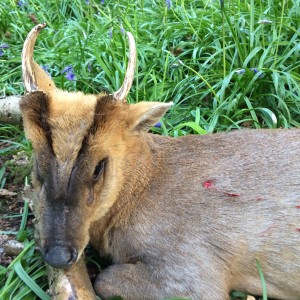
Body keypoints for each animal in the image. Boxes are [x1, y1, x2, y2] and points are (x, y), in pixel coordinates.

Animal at [20, 24, 300, 300]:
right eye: (37, 163)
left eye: (99, 166)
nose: (58, 255)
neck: (141, 185)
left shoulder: (194, 271)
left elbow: (104, 279)